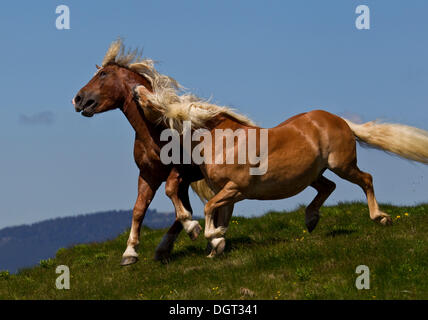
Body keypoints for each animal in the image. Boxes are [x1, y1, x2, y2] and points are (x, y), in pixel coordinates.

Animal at [72, 39, 232, 264]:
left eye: (103, 74)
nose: (78, 99)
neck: (155, 130)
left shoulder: (182, 171)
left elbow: (170, 192)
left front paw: (192, 227)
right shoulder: (149, 175)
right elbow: (139, 209)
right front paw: (130, 252)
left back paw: (212, 241)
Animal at [137, 81, 428, 251]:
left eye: (155, 99)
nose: (136, 92)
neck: (223, 141)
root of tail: (341, 121)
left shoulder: (236, 189)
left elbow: (210, 209)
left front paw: (211, 234)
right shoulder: (226, 193)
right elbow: (218, 213)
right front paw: (215, 243)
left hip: (343, 164)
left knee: (366, 179)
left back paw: (381, 218)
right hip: (312, 174)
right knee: (328, 187)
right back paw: (311, 220)